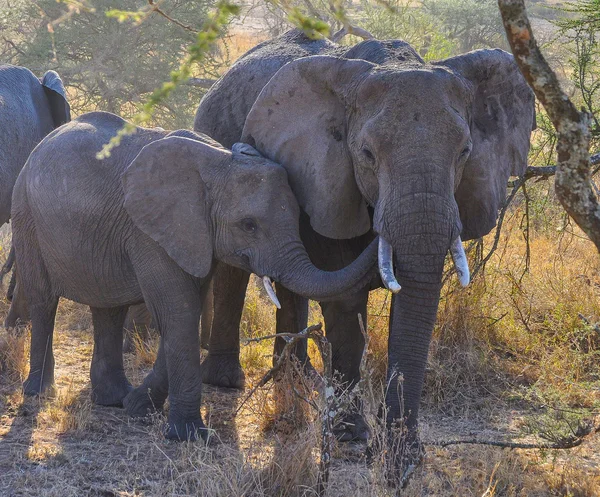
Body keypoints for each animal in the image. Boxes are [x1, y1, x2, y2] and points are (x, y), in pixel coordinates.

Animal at [10, 111, 376, 438]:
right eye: (248, 225)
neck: (218, 162)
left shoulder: (196, 236)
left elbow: (185, 312)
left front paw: (137, 406)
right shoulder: (151, 233)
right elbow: (179, 312)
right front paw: (190, 435)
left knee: (108, 310)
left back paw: (113, 399)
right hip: (25, 213)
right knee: (44, 301)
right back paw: (39, 393)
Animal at [196, 28, 536, 476]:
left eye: (465, 151)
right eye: (367, 155)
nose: (402, 464)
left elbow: (410, 302)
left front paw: (397, 451)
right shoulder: (326, 174)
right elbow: (346, 305)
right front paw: (354, 437)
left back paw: (299, 375)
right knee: (233, 271)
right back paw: (226, 380)